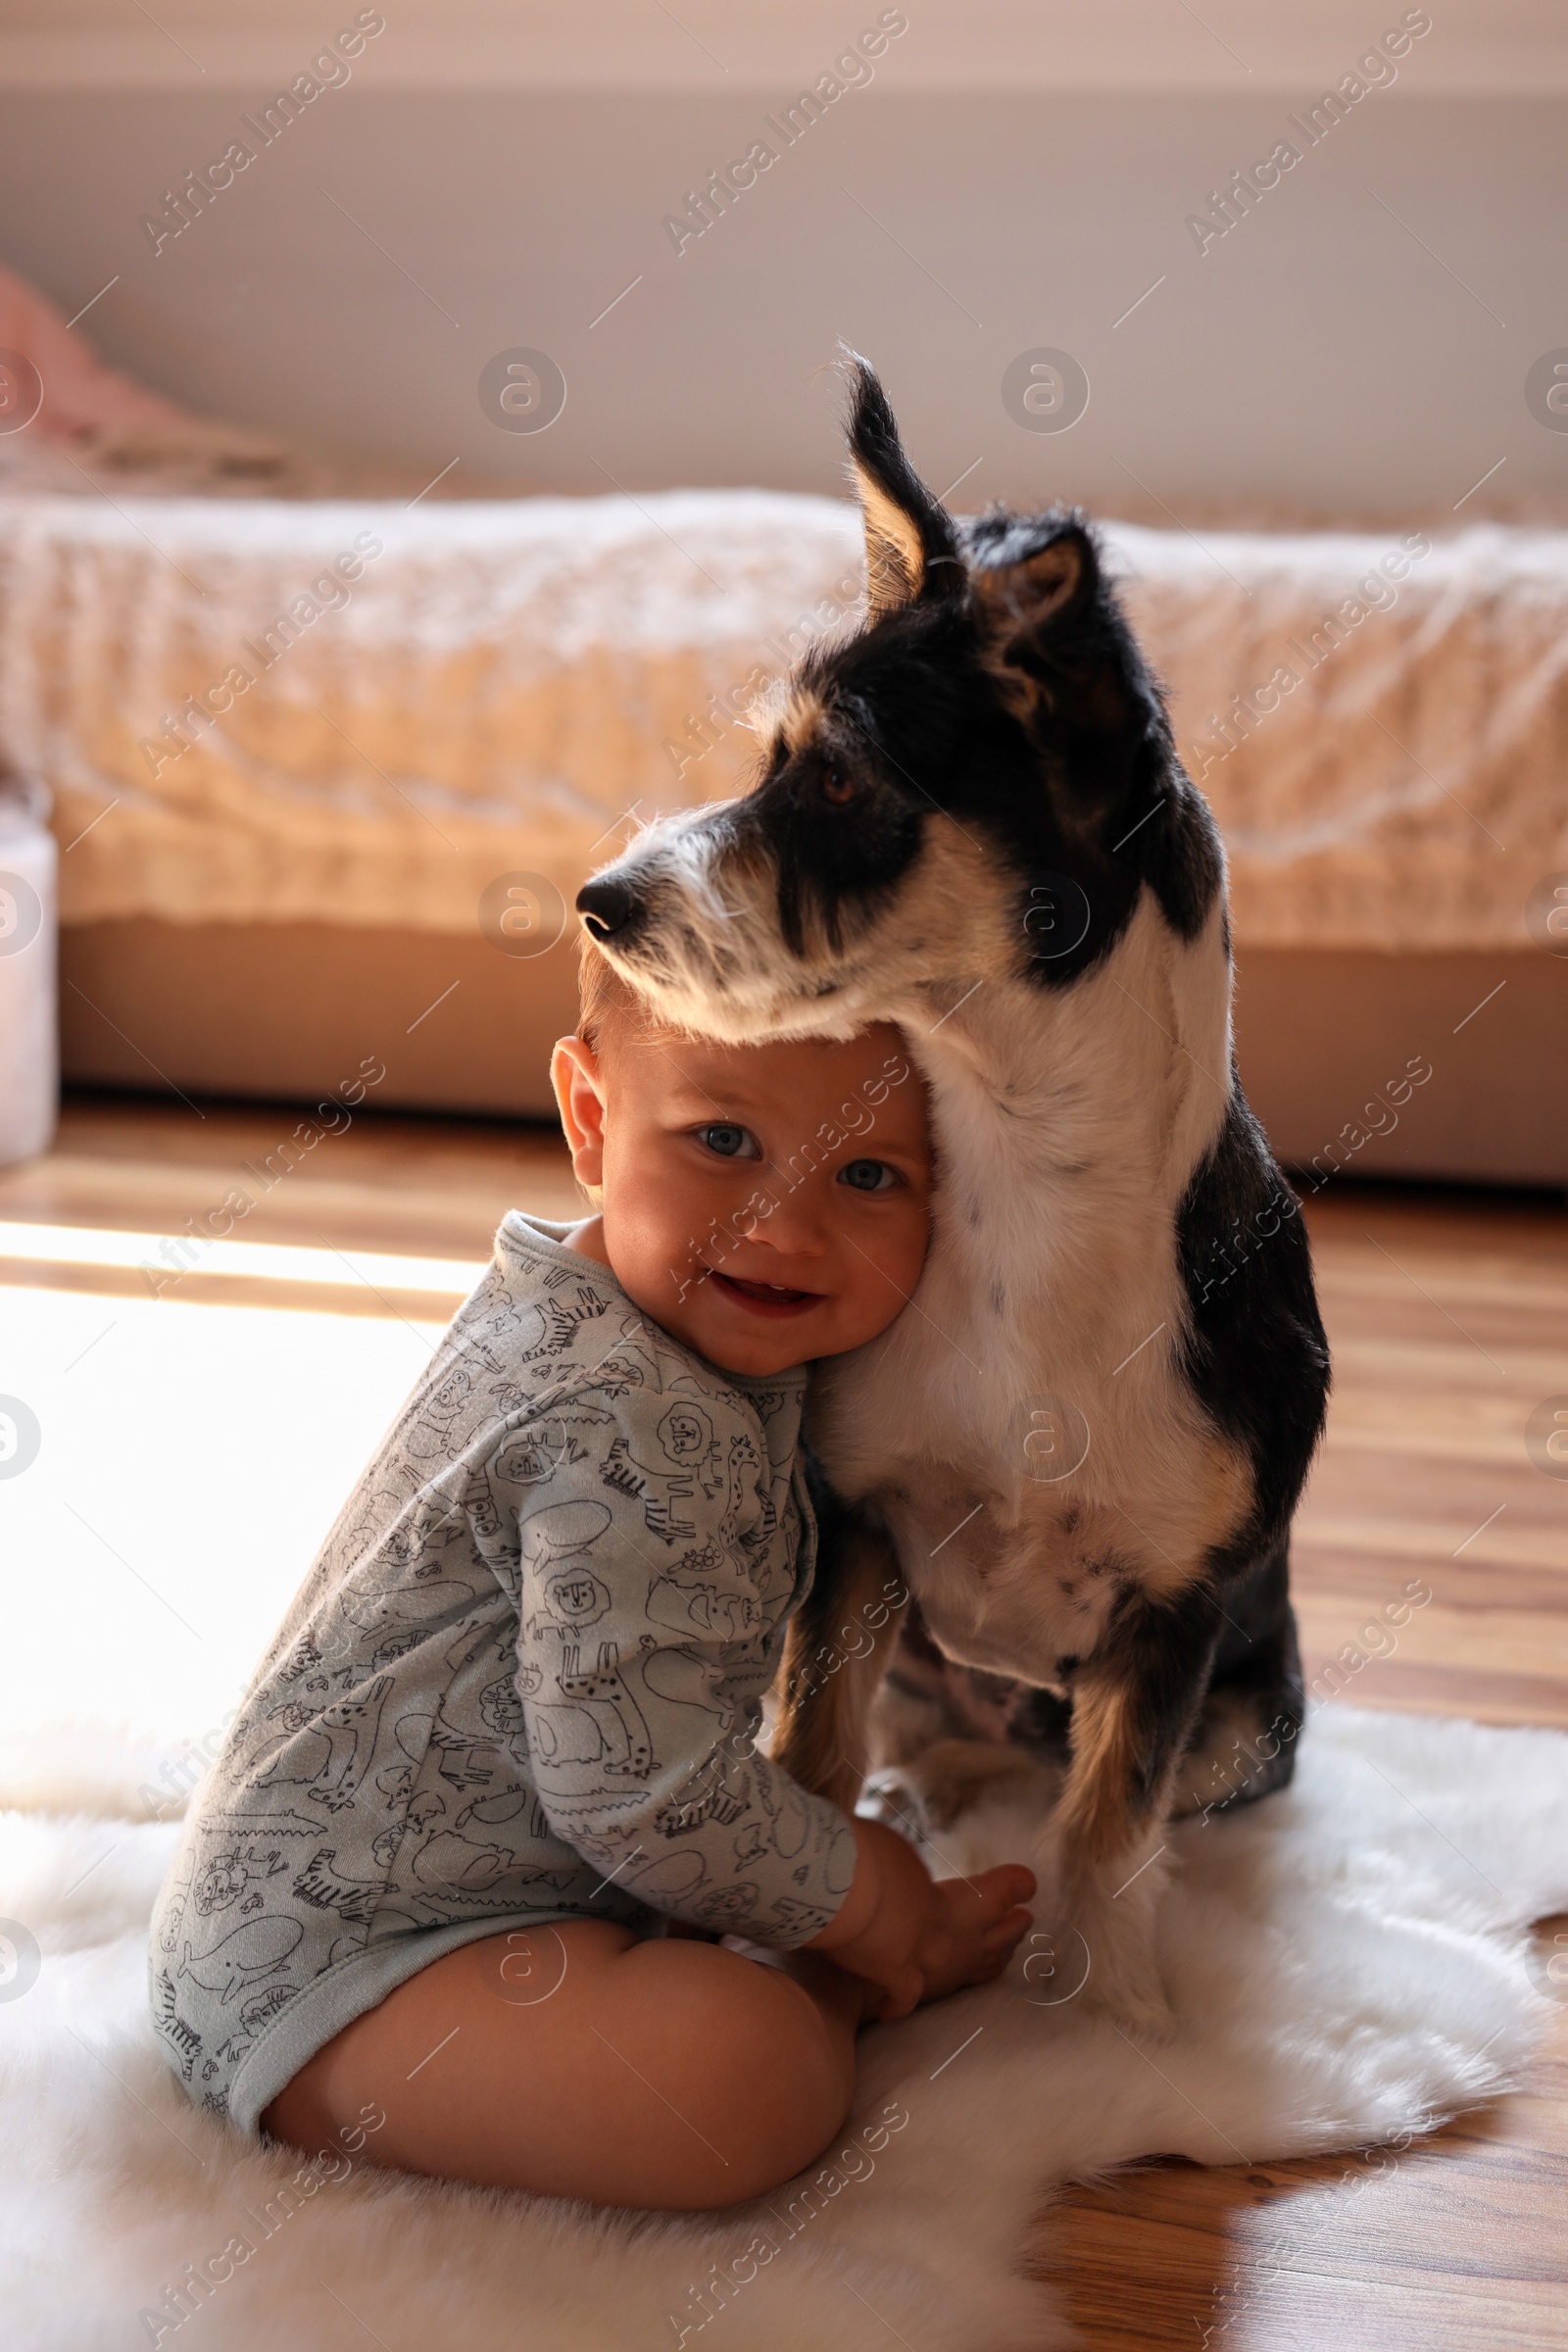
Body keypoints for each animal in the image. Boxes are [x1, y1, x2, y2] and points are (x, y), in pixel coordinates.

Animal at [582, 362, 1335, 2023]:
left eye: (839, 778)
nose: (597, 902)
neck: (1017, 1171)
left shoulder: (1177, 1621)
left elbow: (1110, 1829)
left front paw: (1108, 2020)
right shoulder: (855, 1530)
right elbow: (806, 1749)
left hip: (1257, 1717)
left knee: (1086, 1790)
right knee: (912, 1746)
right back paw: (914, 1804)